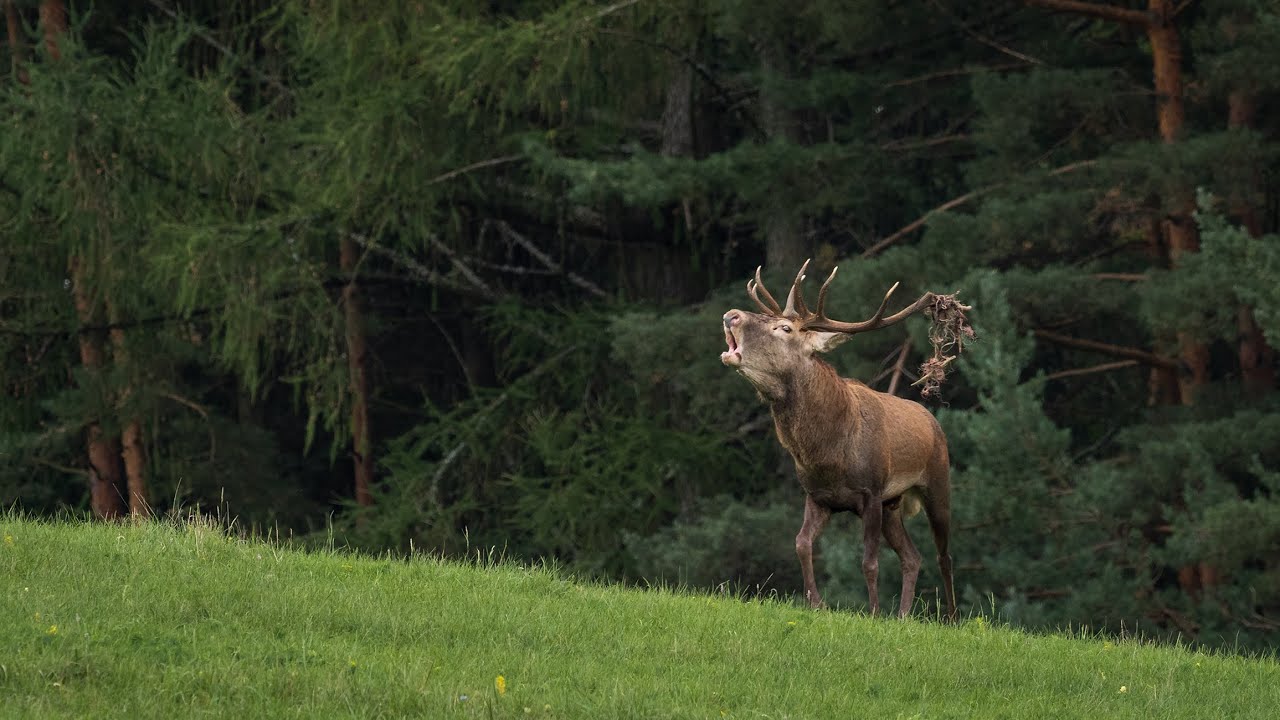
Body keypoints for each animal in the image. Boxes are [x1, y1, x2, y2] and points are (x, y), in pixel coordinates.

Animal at [720, 259, 971, 620]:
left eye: (785, 328)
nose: (731, 315)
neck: (827, 451)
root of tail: (933, 420)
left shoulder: (871, 492)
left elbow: (869, 562)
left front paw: (874, 613)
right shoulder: (818, 496)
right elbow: (801, 543)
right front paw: (816, 602)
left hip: (937, 484)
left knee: (944, 555)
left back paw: (950, 618)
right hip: (893, 504)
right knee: (913, 556)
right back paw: (903, 615)